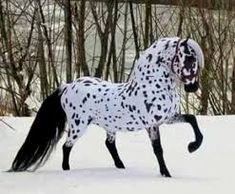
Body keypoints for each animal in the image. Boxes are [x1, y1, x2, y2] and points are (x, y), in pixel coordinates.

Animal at [9, 36, 204, 177]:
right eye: (188, 59)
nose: (193, 87)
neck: (150, 86)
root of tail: (67, 87)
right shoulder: (153, 124)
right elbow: (158, 149)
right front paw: (167, 174)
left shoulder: (168, 118)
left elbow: (192, 119)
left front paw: (192, 147)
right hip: (78, 126)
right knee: (67, 146)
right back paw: (67, 170)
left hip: (108, 126)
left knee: (109, 144)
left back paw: (121, 166)